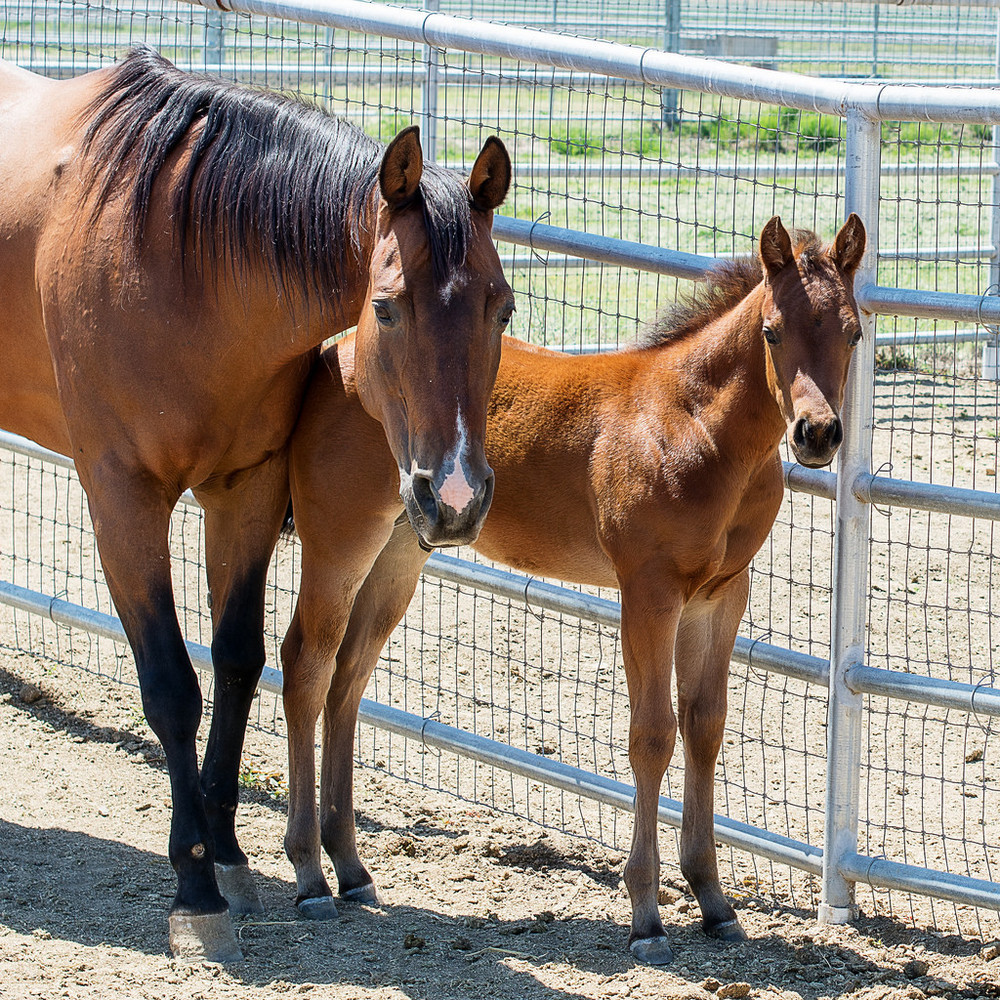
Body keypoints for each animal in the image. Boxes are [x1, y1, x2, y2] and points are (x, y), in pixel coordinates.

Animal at [0, 47, 513, 961]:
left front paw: (230, 855)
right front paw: (195, 889)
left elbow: (236, 661)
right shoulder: (122, 501)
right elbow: (172, 686)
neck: (179, 261)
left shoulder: (248, 488)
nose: (453, 495)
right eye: (384, 307)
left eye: (504, 307)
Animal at [280, 214, 866, 963]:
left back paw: (351, 868)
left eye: (853, 332)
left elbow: (705, 728)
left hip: (398, 552)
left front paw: (713, 901)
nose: (817, 434)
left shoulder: (721, 596)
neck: (693, 423)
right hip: (340, 539)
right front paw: (646, 916)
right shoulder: (649, 592)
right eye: (772, 330)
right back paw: (308, 875)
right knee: (307, 665)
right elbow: (653, 734)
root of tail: (334, 352)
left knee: (348, 677)